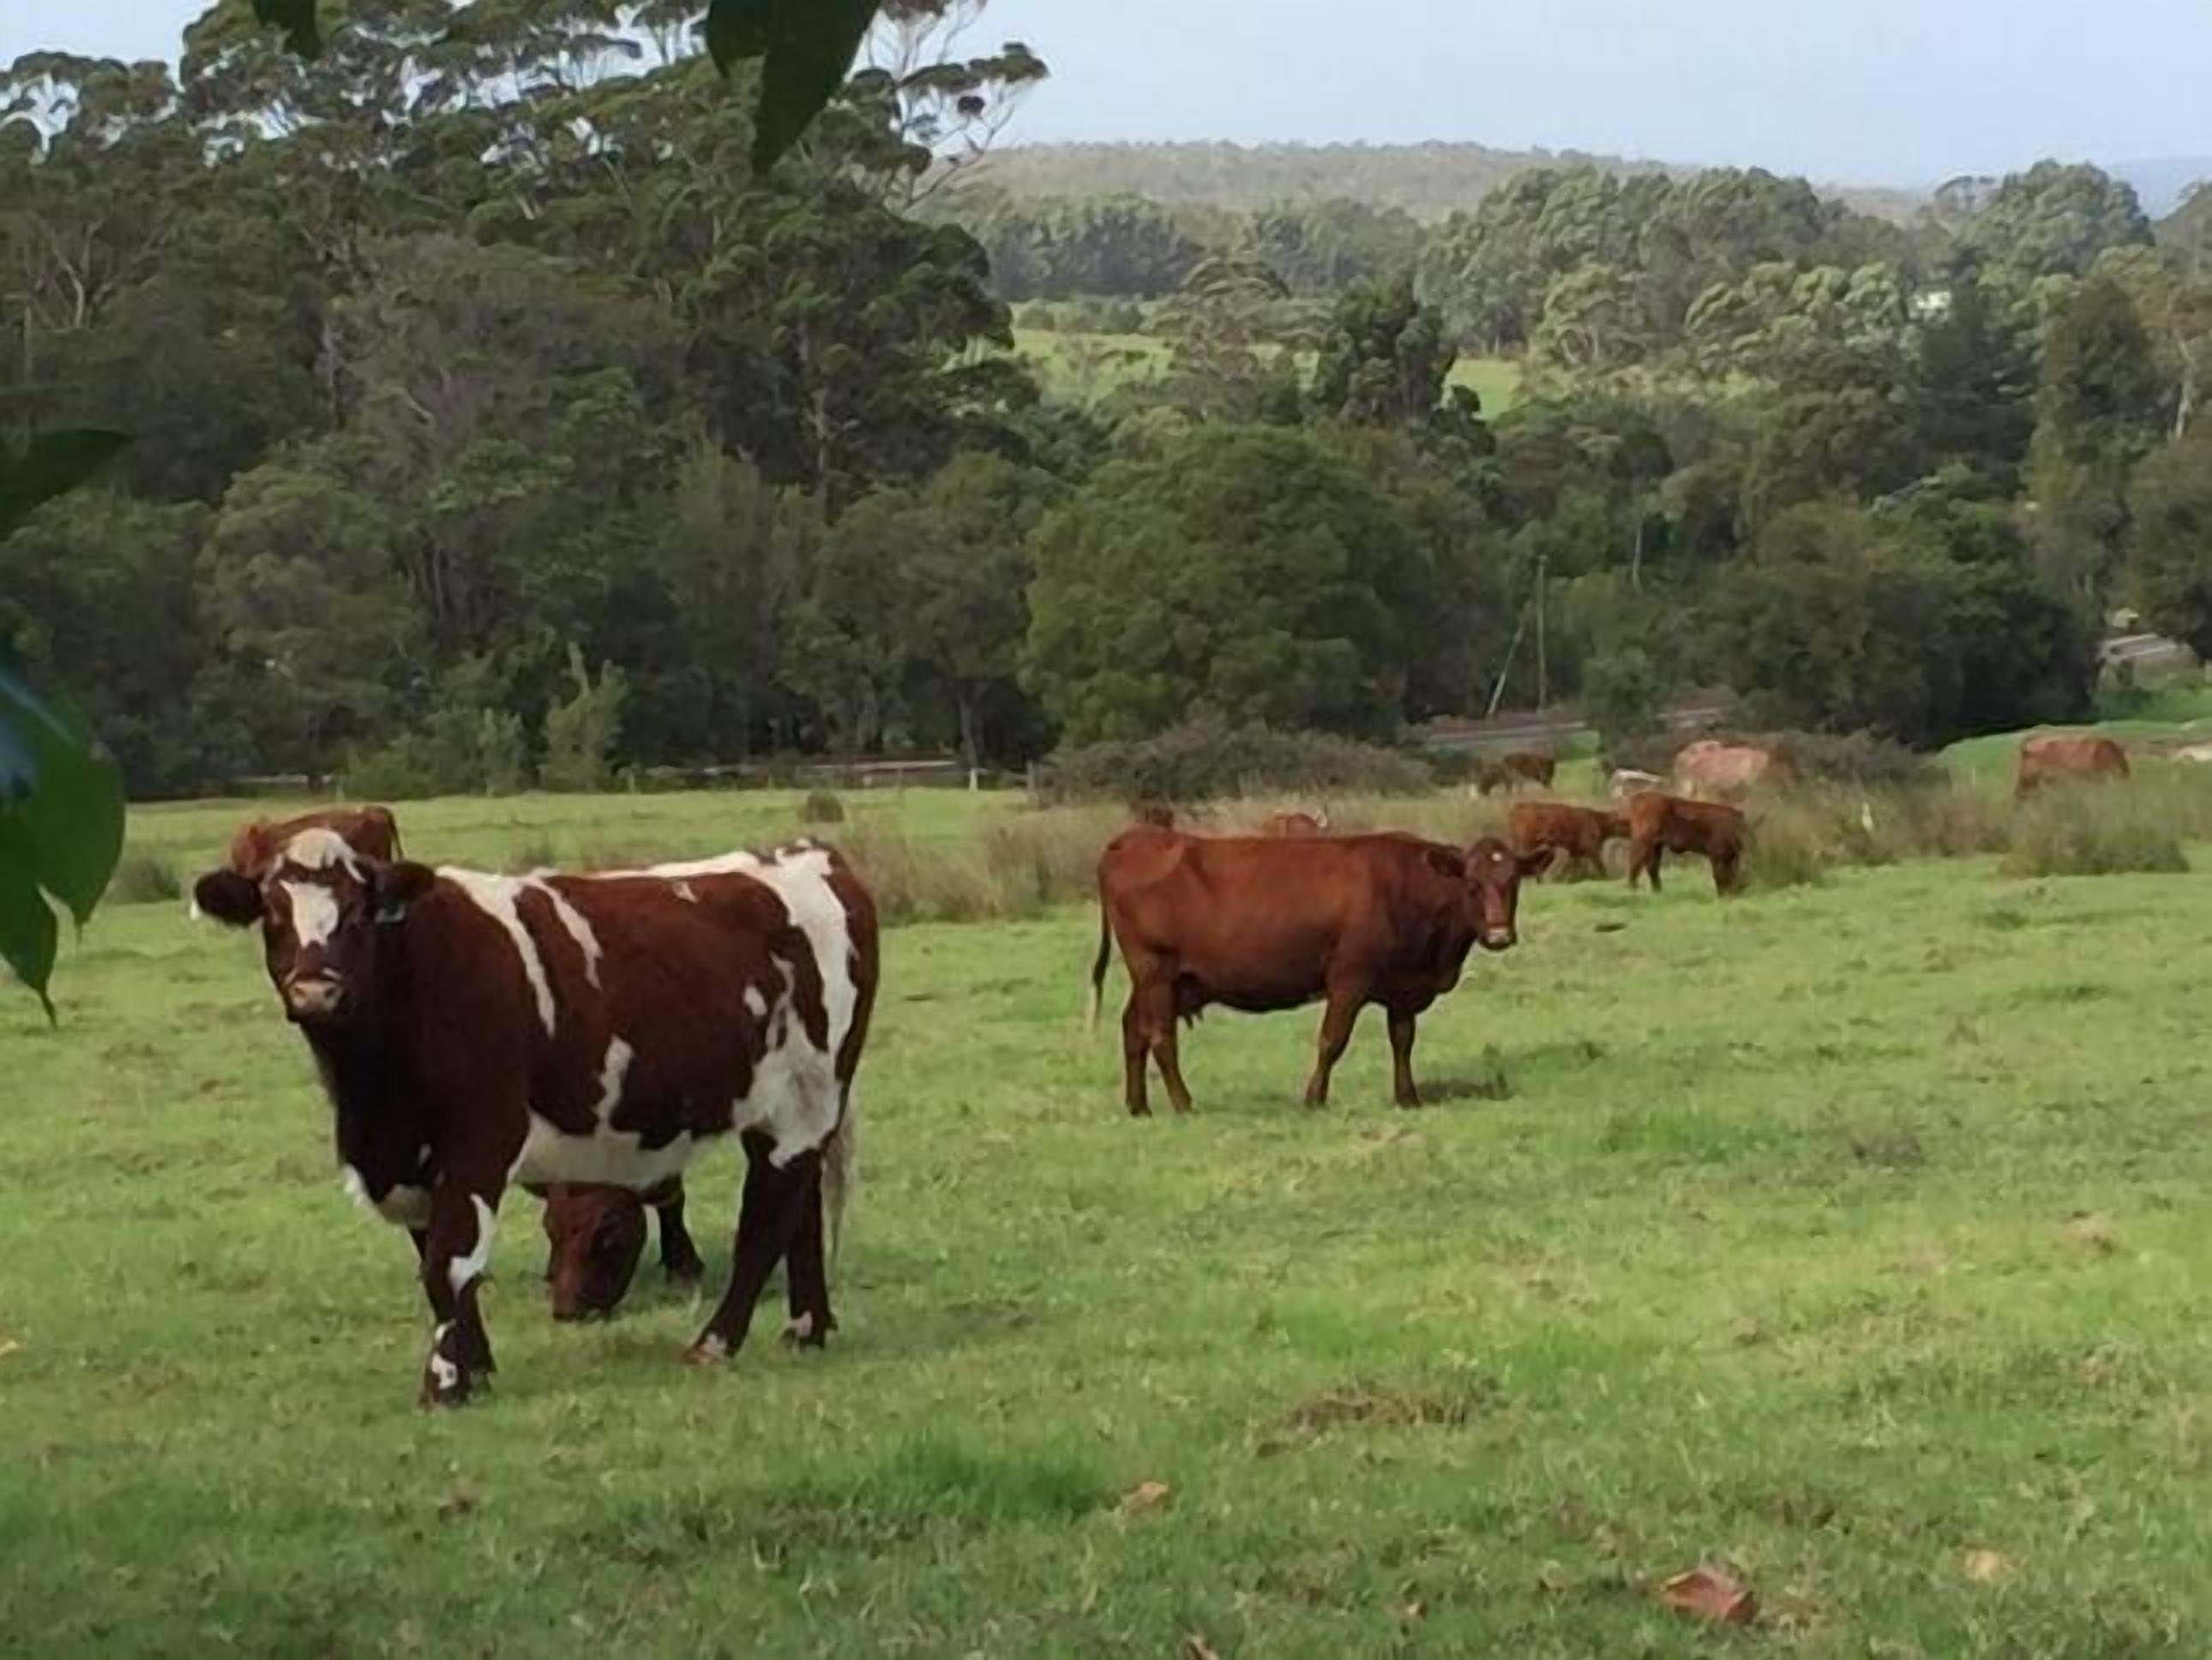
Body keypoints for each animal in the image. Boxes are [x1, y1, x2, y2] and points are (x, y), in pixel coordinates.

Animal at [191, 830, 878, 1408]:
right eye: (272, 916)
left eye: (358, 914)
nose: (315, 991)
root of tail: (809, 854)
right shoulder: (410, 1158)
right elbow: (436, 1262)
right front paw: (475, 1366)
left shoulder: (479, 1141)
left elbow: (448, 1265)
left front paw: (445, 1384)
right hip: (785, 1108)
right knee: (800, 1208)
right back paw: (806, 1328)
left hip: (808, 1096)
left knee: (766, 1216)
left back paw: (715, 1343)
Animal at [1087, 829, 1549, 1115]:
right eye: (1472, 885)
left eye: (1514, 882)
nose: (1499, 935)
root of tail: (1133, 839)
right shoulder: (1349, 977)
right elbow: (1332, 1040)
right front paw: (1314, 1099)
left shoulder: (1403, 987)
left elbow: (1402, 1041)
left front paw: (1407, 1098)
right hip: (1155, 971)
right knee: (1161, 1037)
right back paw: (1184, 1104)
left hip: (1161, 981)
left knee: (1133, 1030)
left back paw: (1139, 1106)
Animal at [1506, 801, 1630, 881]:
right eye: (1626, 822)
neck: (1598, 821)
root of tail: (1519, 807)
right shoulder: (1592, 850)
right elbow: (1601, 868)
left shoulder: (1575, 852)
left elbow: (1571, 867)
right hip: (1526, 845)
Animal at [1625, 791, 1747, 896]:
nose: (1740, 891)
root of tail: (1640, 797)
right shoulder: (1718, 854)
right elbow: (1720, 875)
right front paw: (1722, 895)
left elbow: (1726, 874)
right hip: (1644, 842)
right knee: (1636, 862)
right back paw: (1633, 889)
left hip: (1655, 846)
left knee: (1651, 866)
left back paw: (1657, 891)